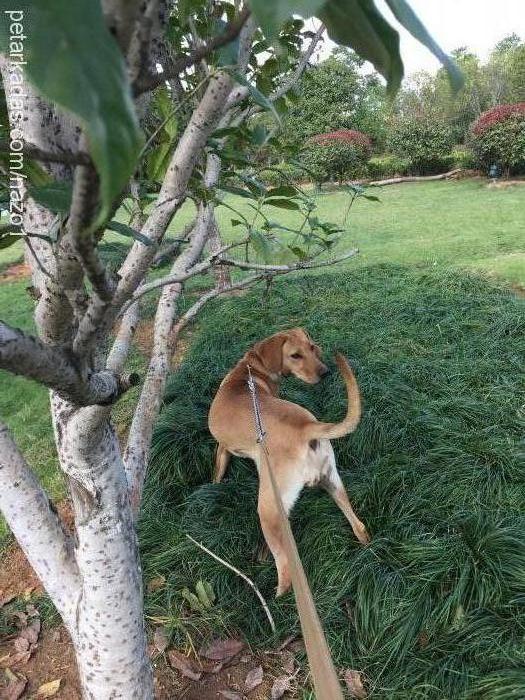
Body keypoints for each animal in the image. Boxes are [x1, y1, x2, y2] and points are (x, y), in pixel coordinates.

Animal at [208, 328, 368, 596]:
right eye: (296, 355)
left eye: (311, 348)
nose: (326, 372)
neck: (251, 370)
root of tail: (306, 428)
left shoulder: (223, 447)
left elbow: (217, 470)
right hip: (332, 482)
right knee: (358, 524)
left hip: (268, 505)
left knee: (285, 570)